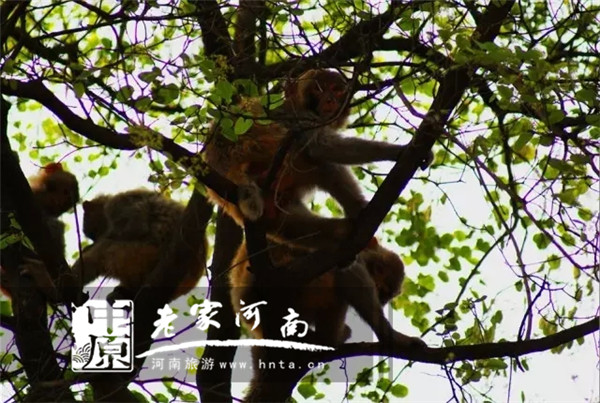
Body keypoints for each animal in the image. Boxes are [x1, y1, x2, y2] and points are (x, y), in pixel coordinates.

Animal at [70, 189, 208, 301]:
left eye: (96, 232)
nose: (96, 239)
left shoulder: (117, 204)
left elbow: (138, 227)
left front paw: (94, 244)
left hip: (143, 256)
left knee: (103, 250)